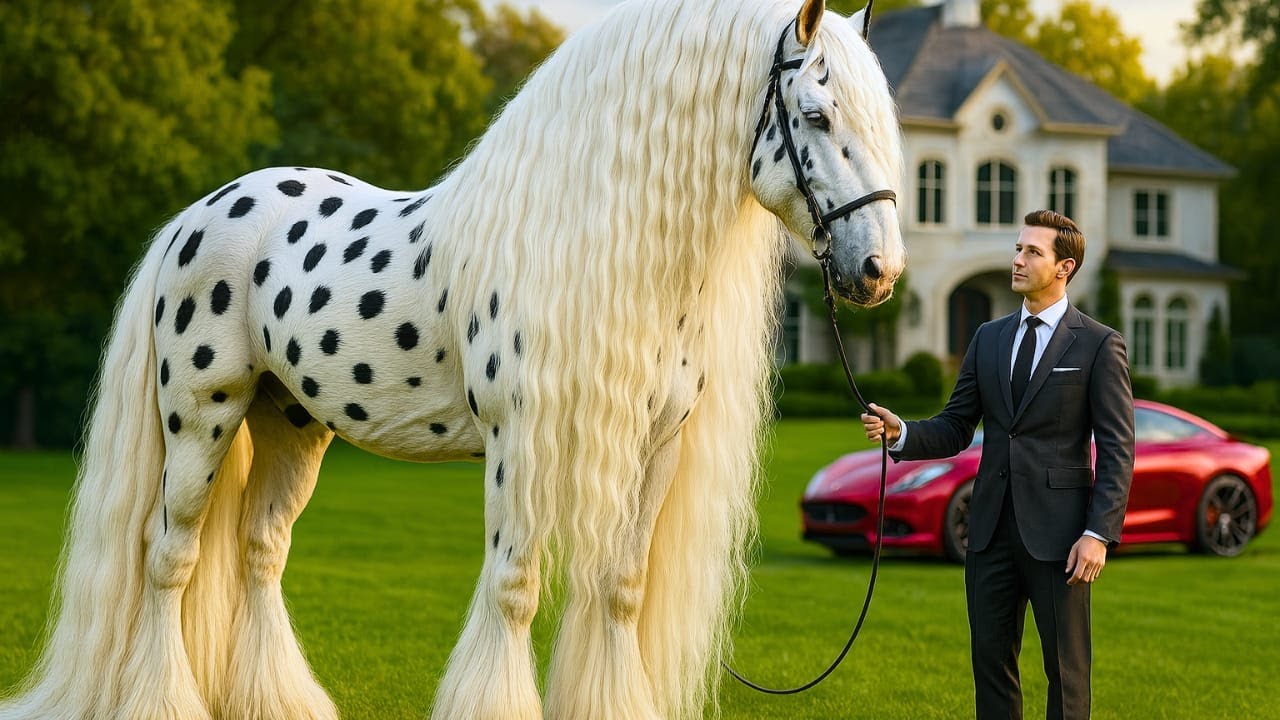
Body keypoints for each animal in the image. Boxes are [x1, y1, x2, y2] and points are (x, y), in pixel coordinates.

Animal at [0, 0, 903, 717]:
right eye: (816, 114)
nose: (878, 270)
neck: (583, 245)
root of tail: (196, 216)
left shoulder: (656, 446)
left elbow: (620, 590)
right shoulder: (521, 441)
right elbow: (514, 590)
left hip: (290, 427)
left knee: (259, 555)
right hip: (200, 420)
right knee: (169, 559)